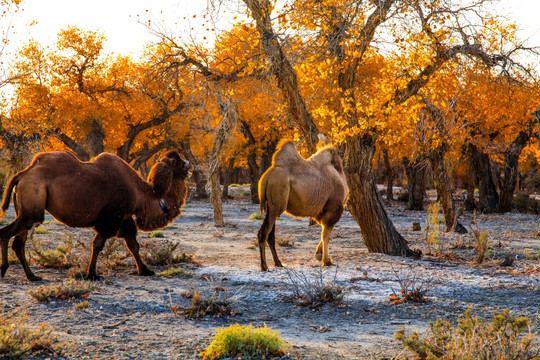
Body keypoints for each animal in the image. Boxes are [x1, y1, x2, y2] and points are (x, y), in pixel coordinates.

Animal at [0, 149, 192, 282]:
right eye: (177, 162)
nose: (189, 163)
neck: (140, 195)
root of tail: (22, 174)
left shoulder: (124, 218)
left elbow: (133, 245)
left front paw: (145, 270)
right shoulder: (111, 218)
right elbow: (98, 245)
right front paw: (92, 274)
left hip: (27, 211)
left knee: (19, 242)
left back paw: (32, 276)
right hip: (32, 204)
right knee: (6, 233)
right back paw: (4, 269)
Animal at [258, 136, 350, 272]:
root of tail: (266, 178)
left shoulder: (323, 210)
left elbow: (324, 232)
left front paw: (319, 254)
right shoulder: (334, 208)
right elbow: (326, 234)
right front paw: (327, 261)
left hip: (271, 206)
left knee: (270, 234)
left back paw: (278, 263)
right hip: (277, 204)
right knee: (264, 232)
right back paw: (264, 266)